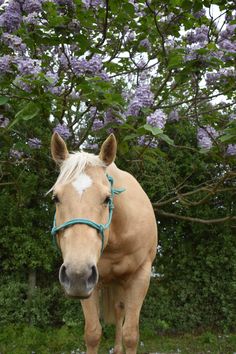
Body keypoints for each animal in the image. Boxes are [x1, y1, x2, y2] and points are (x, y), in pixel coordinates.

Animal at [49, 133, 157, 354]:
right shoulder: (90, 284)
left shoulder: (140, 276)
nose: (77, 274)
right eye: (56, 198)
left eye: (107, 198)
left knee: (119, 311)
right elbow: (92, 334)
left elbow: (131, 335)